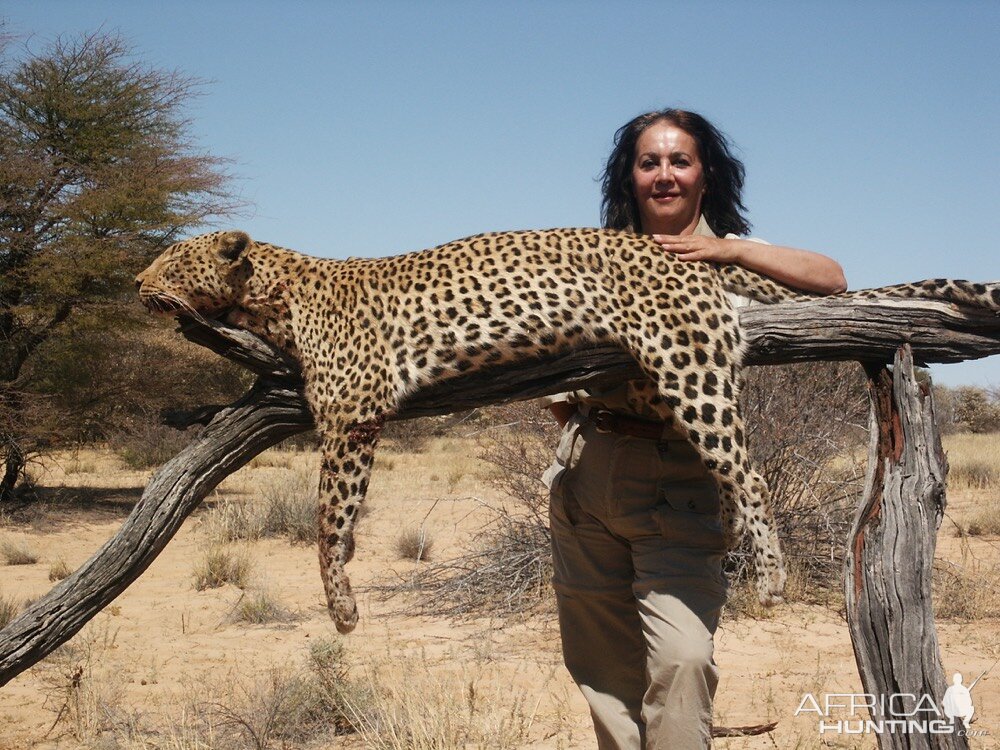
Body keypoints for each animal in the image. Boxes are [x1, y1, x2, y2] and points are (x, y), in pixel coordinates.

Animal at [135, 229, 1000, 636]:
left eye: (171, 261)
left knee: (747, 472)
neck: (275, 291)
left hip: (690, 367)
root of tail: (686, 259)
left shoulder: (352, 410)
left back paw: (770, 577)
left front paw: (341, 609)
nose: (136, 284)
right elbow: (338, 517)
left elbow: (328, 520)